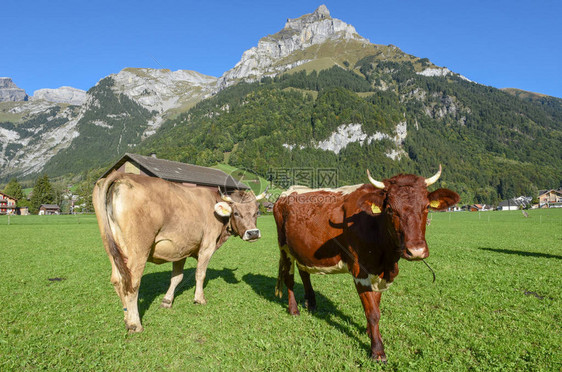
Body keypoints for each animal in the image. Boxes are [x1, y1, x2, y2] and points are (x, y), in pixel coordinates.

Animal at [92, 171, 264, 332]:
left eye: (256, 212)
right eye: (236, 213)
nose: (253, 233)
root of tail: (122, 175)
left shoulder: (180, 249)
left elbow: (176, 277)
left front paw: (167, 301)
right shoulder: (207, 246)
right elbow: (200, 274)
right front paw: (199, 299)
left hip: (111, 247)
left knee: (117, 279)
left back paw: (127, 317)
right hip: (138, 250)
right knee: (132, 282)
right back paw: (135, 323)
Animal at [272, 165, 460, 360]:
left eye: (426, 207)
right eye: (390, 209)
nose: (415, 250)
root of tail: (286, 193)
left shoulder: (379, 273)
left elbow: (376, 305)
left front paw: (371, 333)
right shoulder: (360, 272)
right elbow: (372, 313)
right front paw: (377, 350)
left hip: (302, 250)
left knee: (304, 272)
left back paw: (311, 304)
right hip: (284, 248)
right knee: (289, 278)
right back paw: (294, 310)